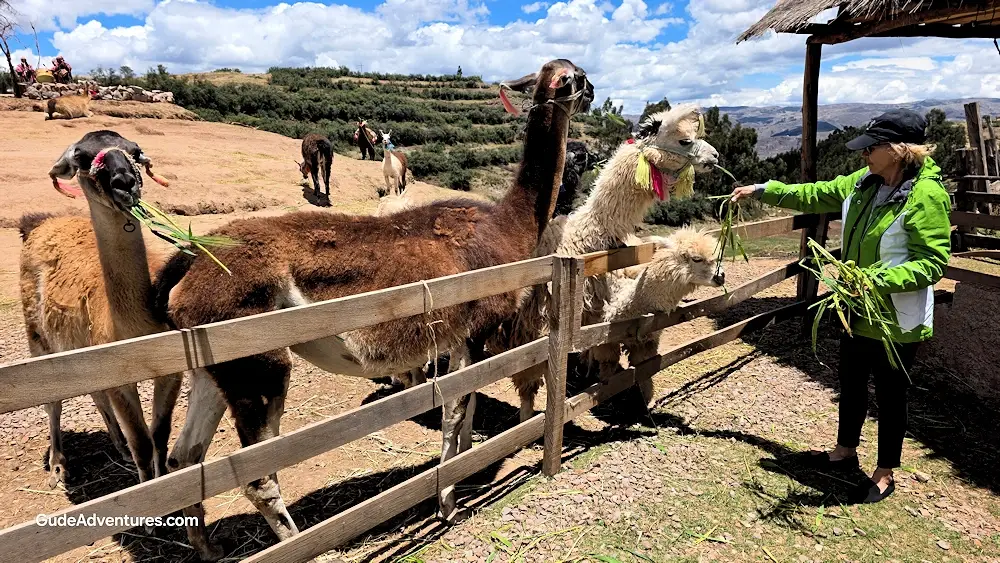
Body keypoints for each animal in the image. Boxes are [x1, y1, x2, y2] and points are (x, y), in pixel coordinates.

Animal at [22, 131, 184, 491]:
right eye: (81, 157)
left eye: (135, 151)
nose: (124, 181)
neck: (135, 330)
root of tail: (38, 222)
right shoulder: (120, 376)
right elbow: (143, 445)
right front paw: (152, 498)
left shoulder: (170, 368)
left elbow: (159, 437)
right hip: (39, 338)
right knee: (53, 402)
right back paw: (57, 465)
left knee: (96, 393)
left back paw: (117, 446)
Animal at [144, 59, 592, 560]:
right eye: (578, 77)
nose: (594, 92)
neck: (507, 226)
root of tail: (191, 256)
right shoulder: (471, 332)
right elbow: (455, 416)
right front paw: (447, 502)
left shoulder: (459, 340)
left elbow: (468, 413)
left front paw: (464, 475)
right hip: (256, 361)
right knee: (258, 476)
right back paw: (300, 544)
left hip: (211, 364)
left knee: (185, 458)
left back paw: (207, 549)